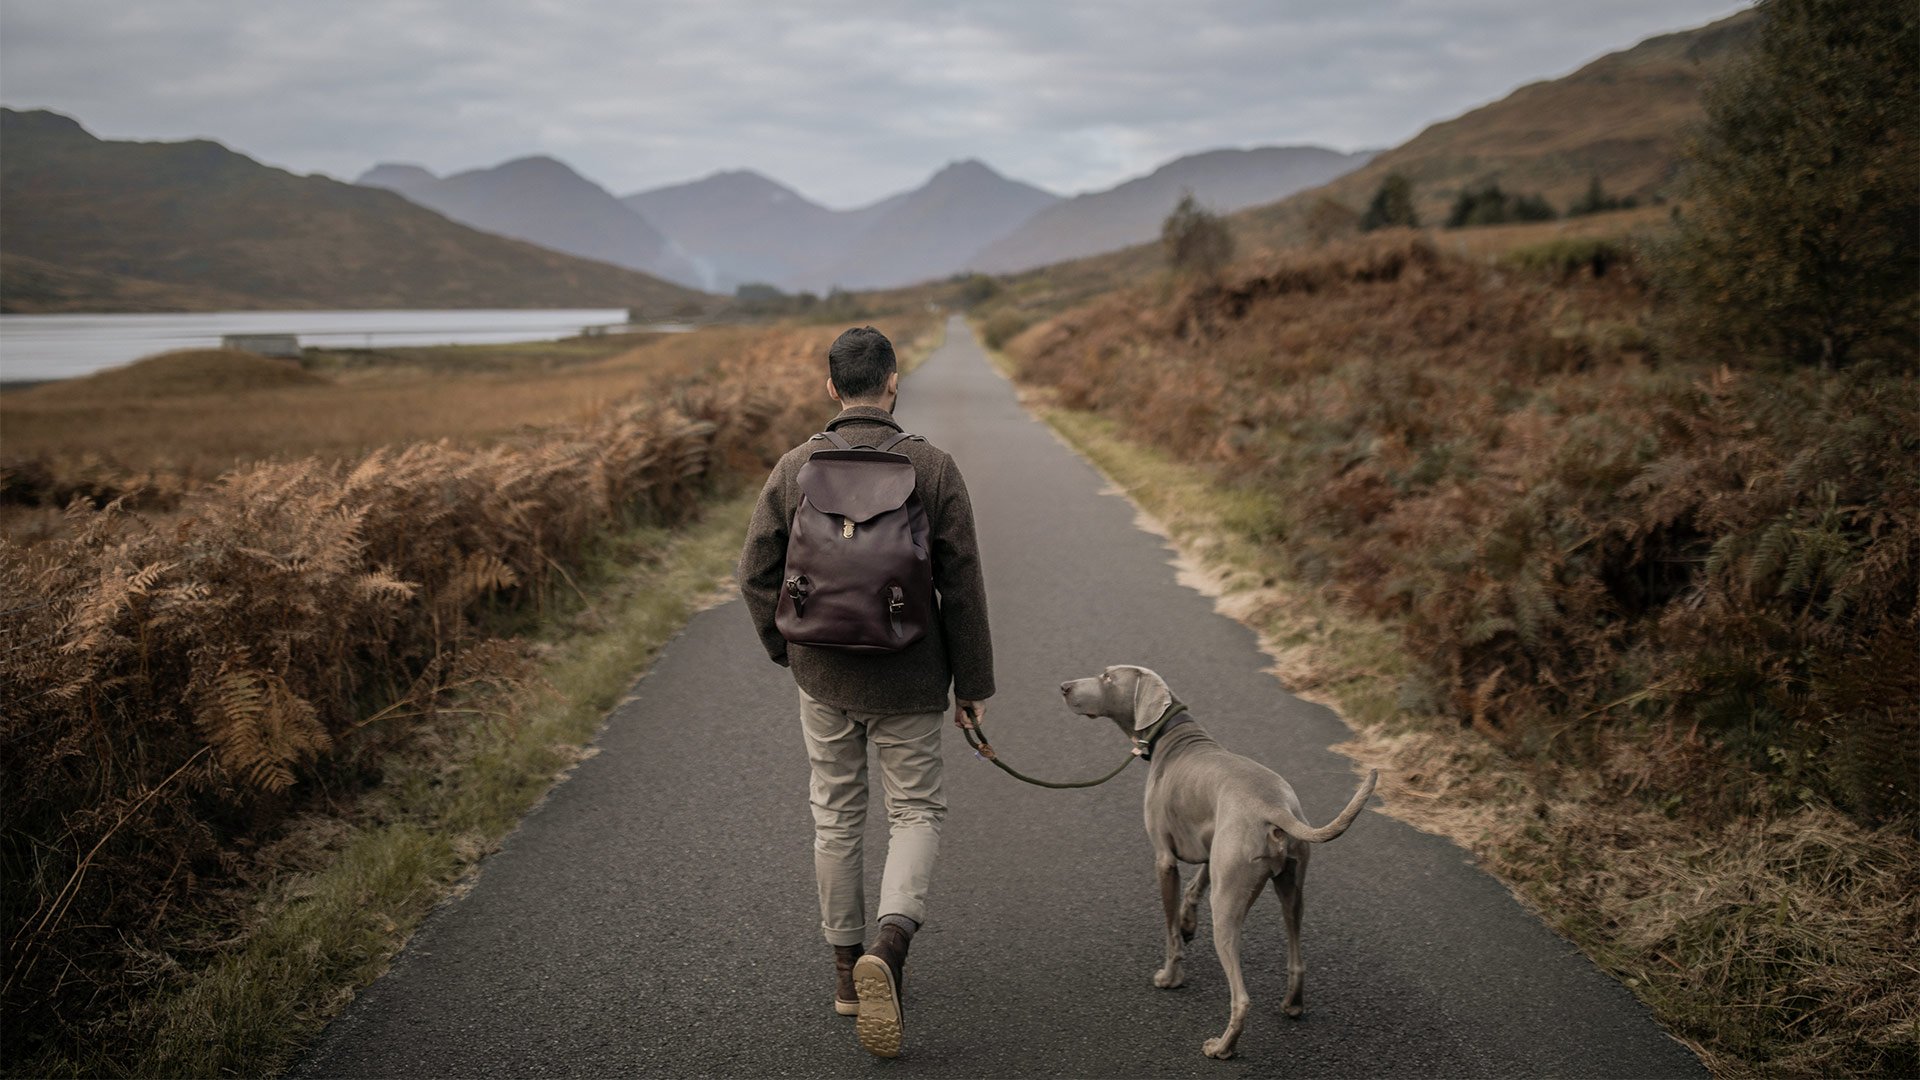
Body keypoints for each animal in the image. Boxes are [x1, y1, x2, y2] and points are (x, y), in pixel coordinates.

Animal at [1059, 661, 1374, 1053]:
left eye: (1107, 677)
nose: (1064, 686)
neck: (1176, 737)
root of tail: (1274, 807)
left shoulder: (1163, 859)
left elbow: (1169, 931)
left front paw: (1170, 976)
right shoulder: (1214, 849)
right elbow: (1195, 887)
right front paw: (1187, 924)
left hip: (1227, 904)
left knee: (1241, 996)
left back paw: (1222, 1047)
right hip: (1289, 884)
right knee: (1297, 954)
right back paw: (1292, 1005)